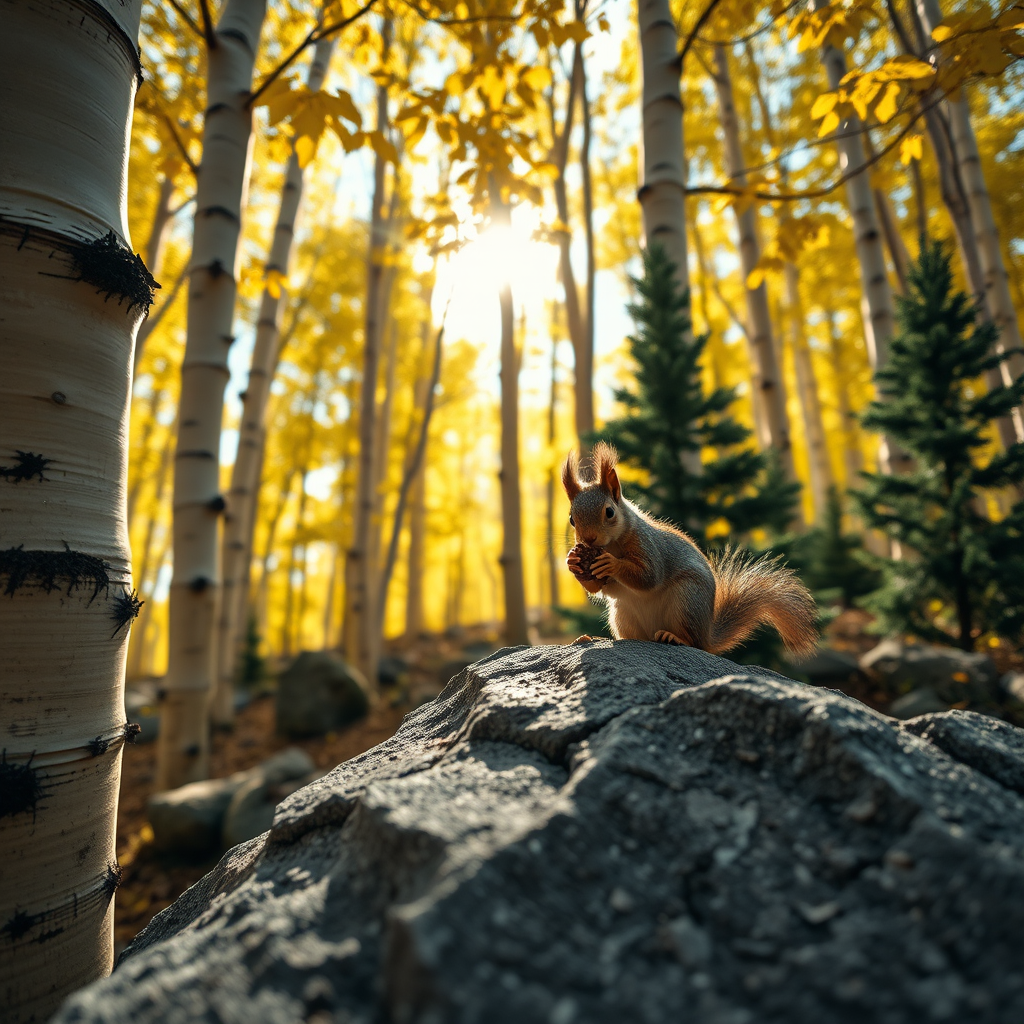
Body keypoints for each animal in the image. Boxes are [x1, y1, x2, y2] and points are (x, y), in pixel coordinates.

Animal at [562, 442, 818, 656]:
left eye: (609, 512)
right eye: (572, 519)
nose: (589, 539)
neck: (611, 544)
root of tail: (707, 635)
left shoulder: (648, 544)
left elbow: (648, 576)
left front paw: (612, 563)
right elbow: (599, 588)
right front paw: (573, 562)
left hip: (687, 600)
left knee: (693, 643)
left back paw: (674, 637)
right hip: (622, 613)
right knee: (635, 638)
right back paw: (597, 638)